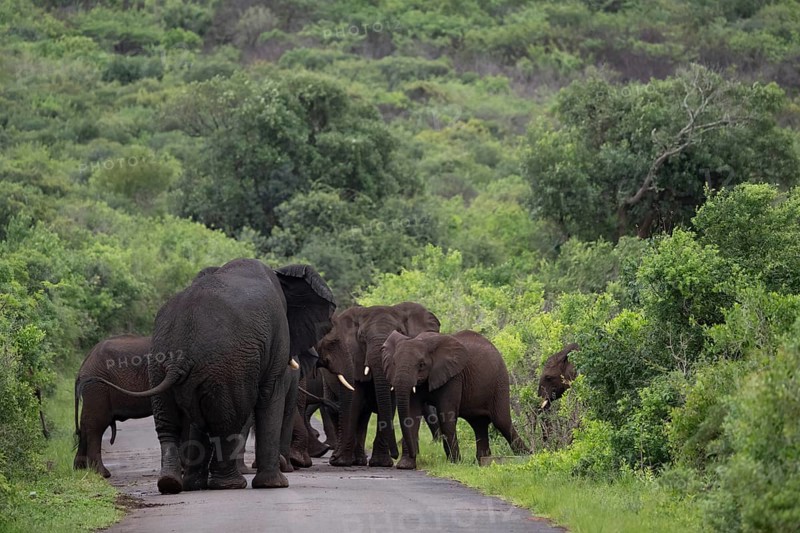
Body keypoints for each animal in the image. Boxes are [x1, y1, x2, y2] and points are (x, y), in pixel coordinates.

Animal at [90, 259, 335, 493]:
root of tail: (180, 352)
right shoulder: (277, 337)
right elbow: (270, 394)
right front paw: (275, 485)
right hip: (226, 367)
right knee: (227, 421)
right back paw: (230, 484)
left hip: (162, 362)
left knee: (171, 423)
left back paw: (174, 484)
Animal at [316, 302, 440, 467]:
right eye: (362, 337)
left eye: (400, 333)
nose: (395, 454)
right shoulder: (355, 355)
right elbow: (354, 400)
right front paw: (341, 462)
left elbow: (390, 403)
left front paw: (381, 463)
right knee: (335, 410)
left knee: (363, 416)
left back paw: (359, 460)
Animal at [382, 330, 529, 470]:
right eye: (394, 363)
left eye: (421, 365)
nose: (394, 456)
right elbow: (411, 415)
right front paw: (405, 465)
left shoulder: (453, 377)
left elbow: (446, 416)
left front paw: (454, 463)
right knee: (479, 424)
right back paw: (481, 462)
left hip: (500, 381)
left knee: (501, 421)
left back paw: (526, 456)